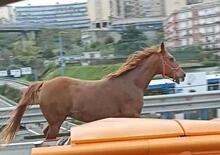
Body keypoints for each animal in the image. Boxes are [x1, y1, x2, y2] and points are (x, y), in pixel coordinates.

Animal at [0, 42, 186, 143]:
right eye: (171, 58)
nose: (182, 75)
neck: (131, 83)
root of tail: (44, 83)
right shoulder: (133, 115)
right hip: (56, 121)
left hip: (54, 121)